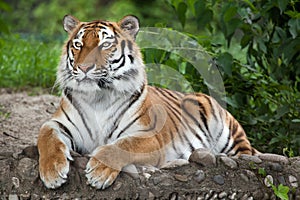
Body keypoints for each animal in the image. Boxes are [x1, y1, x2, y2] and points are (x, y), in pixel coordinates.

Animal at [37, 14, 258, 189]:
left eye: (105, 44)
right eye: (78, 45)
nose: (84, 67)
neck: (97, 97)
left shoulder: (149, 136)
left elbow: (122, 146)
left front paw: (99, 171)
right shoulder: (58, 123)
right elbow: (46, 137)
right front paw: (52, 172)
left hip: (230, 134)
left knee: (246, 153)